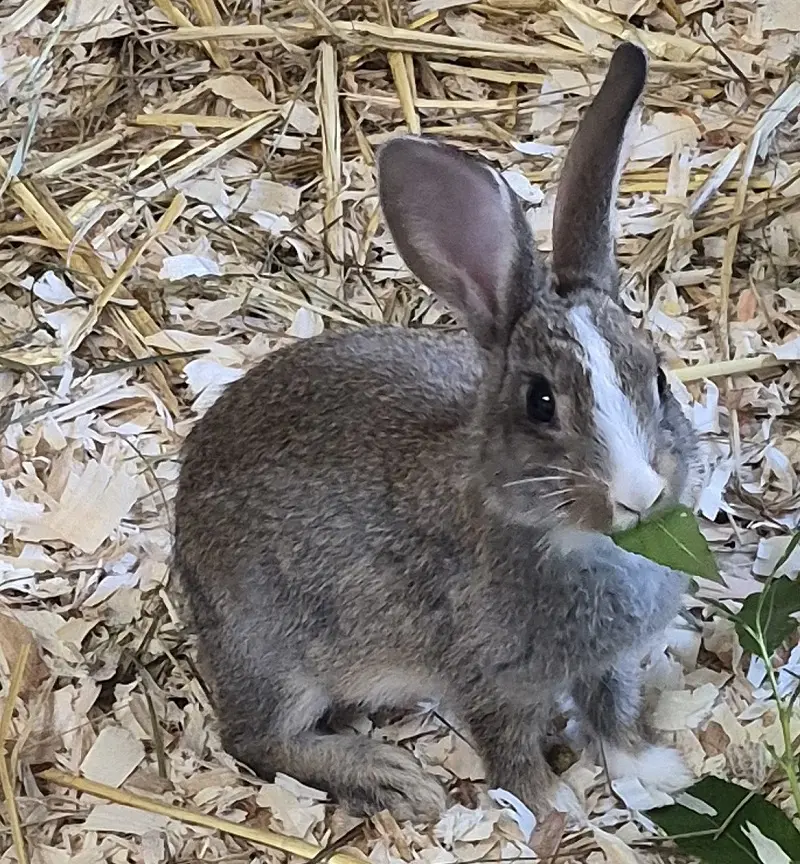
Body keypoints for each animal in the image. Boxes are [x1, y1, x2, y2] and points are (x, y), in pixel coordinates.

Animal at [173, 41, 698, 824]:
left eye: (658, 377)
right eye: (540, 402)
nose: (640, 492)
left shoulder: (607, 665)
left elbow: (614, 712)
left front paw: (657, 773)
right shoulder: (491, 681)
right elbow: (512, 753)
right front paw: (550, 813)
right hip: (273, 655)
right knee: (255, 739)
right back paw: (392, 777)